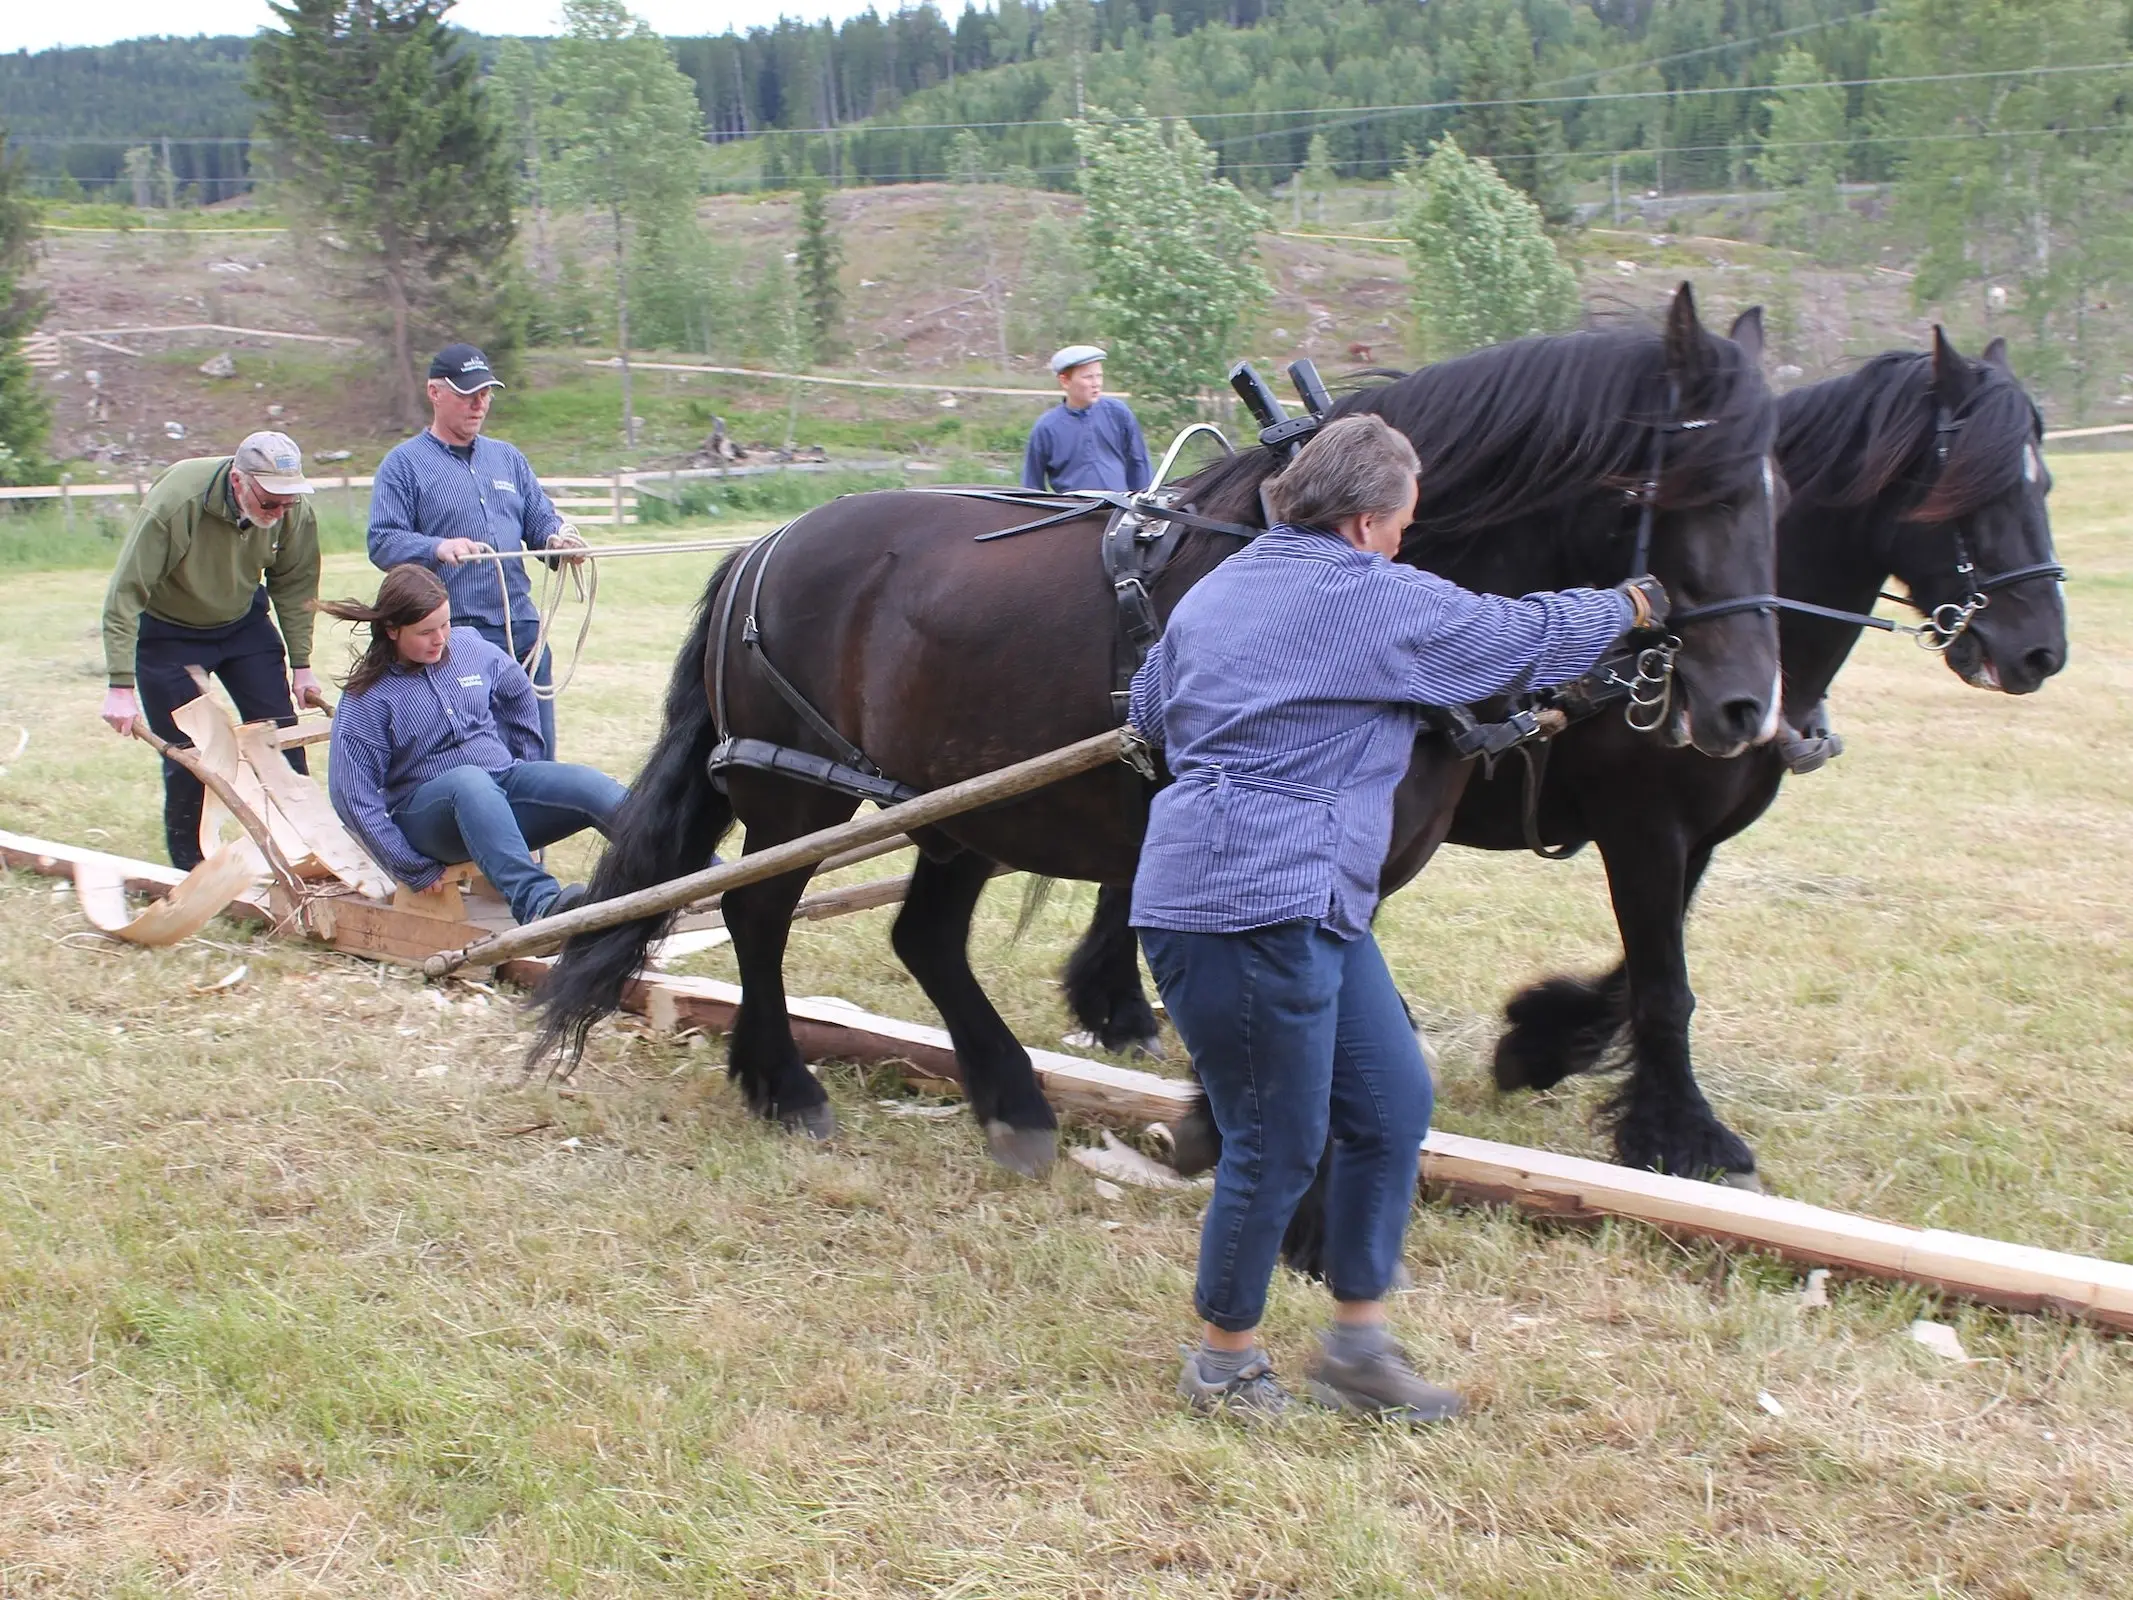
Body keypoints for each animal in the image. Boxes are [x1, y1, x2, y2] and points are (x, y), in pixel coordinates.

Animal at [537, 285, 1783, 1177]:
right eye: (1696, 491)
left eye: (1776, 491)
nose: (1747, 709)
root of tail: (766, 544)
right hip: (800, 792)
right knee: (758, 914)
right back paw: (782, 1084)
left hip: (968, 804)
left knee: (923, 938)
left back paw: (1009, 1099)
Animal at [1083, 328, 2064, 1203]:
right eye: (1968, 487)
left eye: (2043, 479)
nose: (2040, 652)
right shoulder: (1643, 825)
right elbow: (1663, 982)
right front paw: (1681, 1133)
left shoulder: (1694, 836)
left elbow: (1642, 969)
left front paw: (1541, 1043)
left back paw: (1117, 1004)